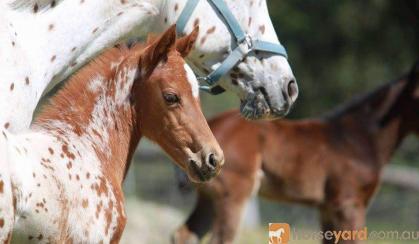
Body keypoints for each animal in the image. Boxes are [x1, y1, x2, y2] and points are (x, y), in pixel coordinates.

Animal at [173, 63, 419, 244]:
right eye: (417, 96)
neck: (357, 138)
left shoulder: (327, 209)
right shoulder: (348, 204)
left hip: (209, 198)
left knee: (184, 235)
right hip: (233, 196)